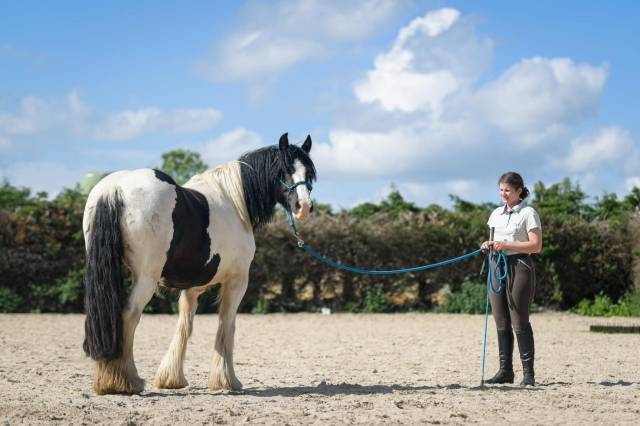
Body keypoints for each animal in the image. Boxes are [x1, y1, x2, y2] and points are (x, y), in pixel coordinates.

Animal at [81, 133, 316, 396]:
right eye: (284, 170)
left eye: (308, 172)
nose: (304, 207)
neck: (235, 203)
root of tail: (115, 189)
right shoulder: (237, 281)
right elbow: (227, 325)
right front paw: (227, 380)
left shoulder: (191, 287)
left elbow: (185, 324)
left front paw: (172, 378)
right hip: (146, 278)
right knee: (129, 314)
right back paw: (126, 380)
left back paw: (110, 379)